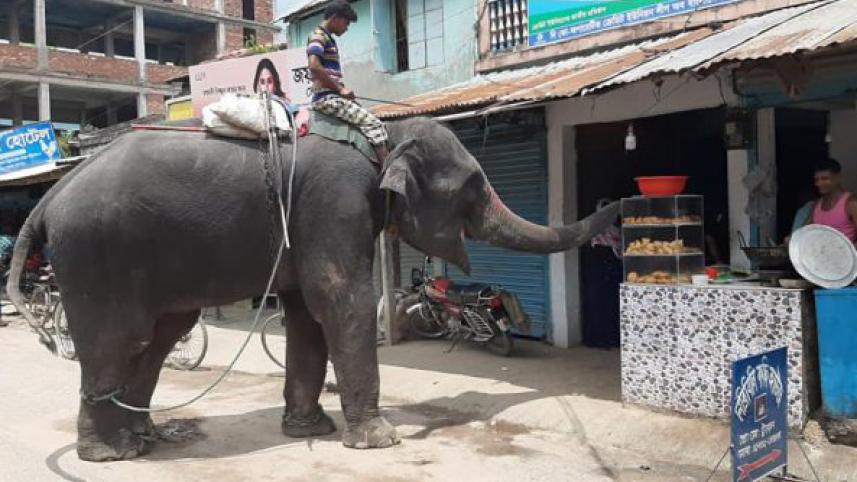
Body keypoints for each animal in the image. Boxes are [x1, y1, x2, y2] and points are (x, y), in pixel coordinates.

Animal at [6, 117, 619, 462]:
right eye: (471, 187)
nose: (618, 208)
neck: (383, 137)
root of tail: (50, 195)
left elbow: (306, 314)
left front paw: (311, 429)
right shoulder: (336, 201)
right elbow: (342, 300)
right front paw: (379, 441)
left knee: (158, 338)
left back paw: (142, 440)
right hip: (96, 256)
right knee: (118, 340)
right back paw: (109, 454)